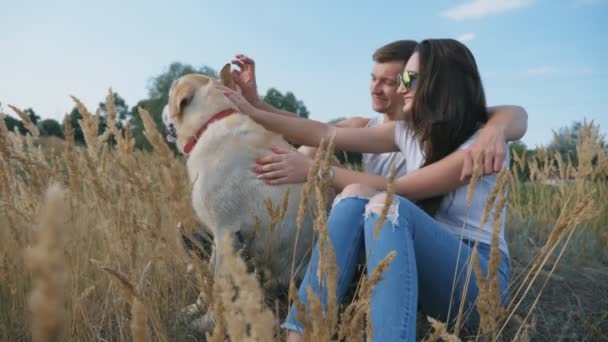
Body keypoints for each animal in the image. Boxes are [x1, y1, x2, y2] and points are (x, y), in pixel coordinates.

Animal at [164, 65, 316, 328]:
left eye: (170, 91)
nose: (163, 110)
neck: (211, 122)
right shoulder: (218, 236)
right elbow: (208, 282)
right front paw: (194, 310)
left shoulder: (228, 233)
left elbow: (220, 285)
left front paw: (208, 323)